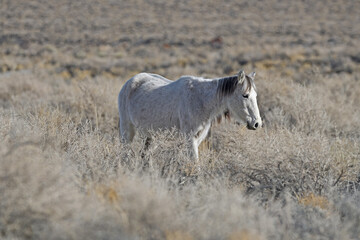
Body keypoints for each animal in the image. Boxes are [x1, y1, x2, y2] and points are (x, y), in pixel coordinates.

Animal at [118, 70, 262, 159]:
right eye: (245, 95)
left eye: (255, 95)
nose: (257, 123)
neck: (200, 99)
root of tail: (130, 82)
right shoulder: (190, 139)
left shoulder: (197, 139)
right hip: (127, 131)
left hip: (150, 136)